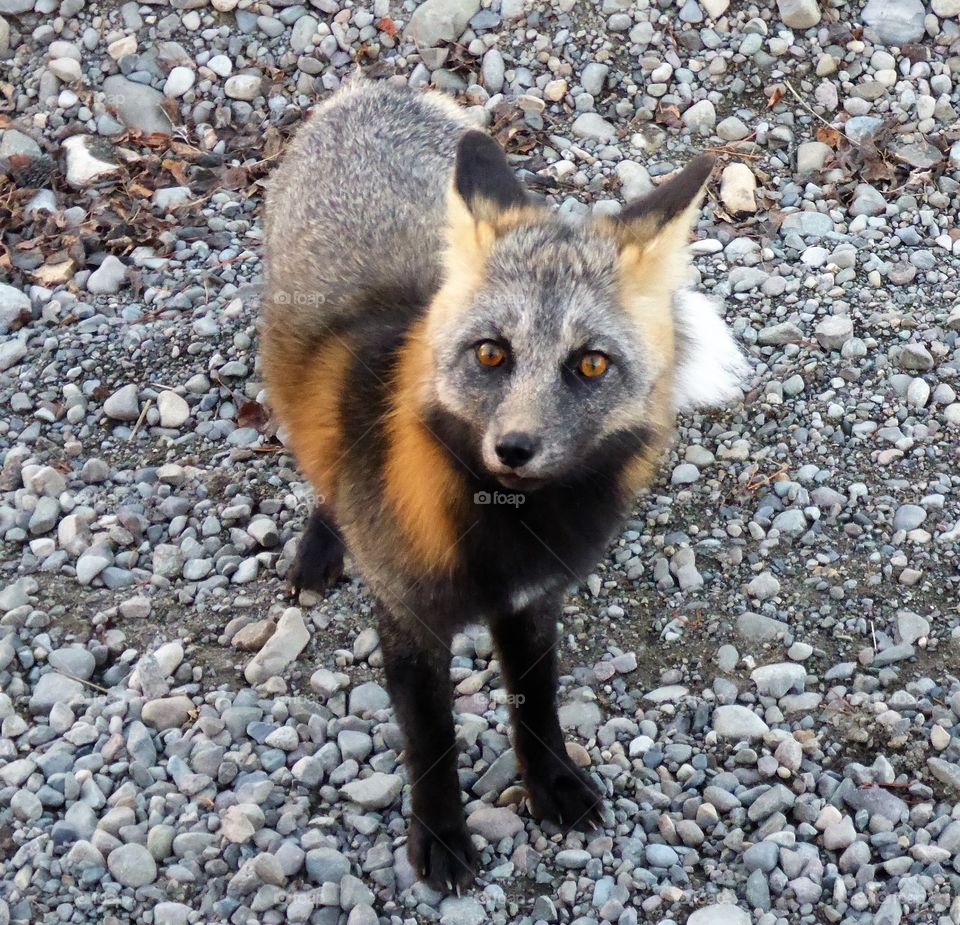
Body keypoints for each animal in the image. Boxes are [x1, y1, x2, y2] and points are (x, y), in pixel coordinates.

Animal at [258, 77, 748, 888]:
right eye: (491, 354)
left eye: (589, 364)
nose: (514, 448)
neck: (500, 531)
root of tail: (378, 89)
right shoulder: (409, 620)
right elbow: (431, 744)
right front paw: (441, 836)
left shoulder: (533, 602)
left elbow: (536, 708)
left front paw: (550, 786)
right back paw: (321, 548)